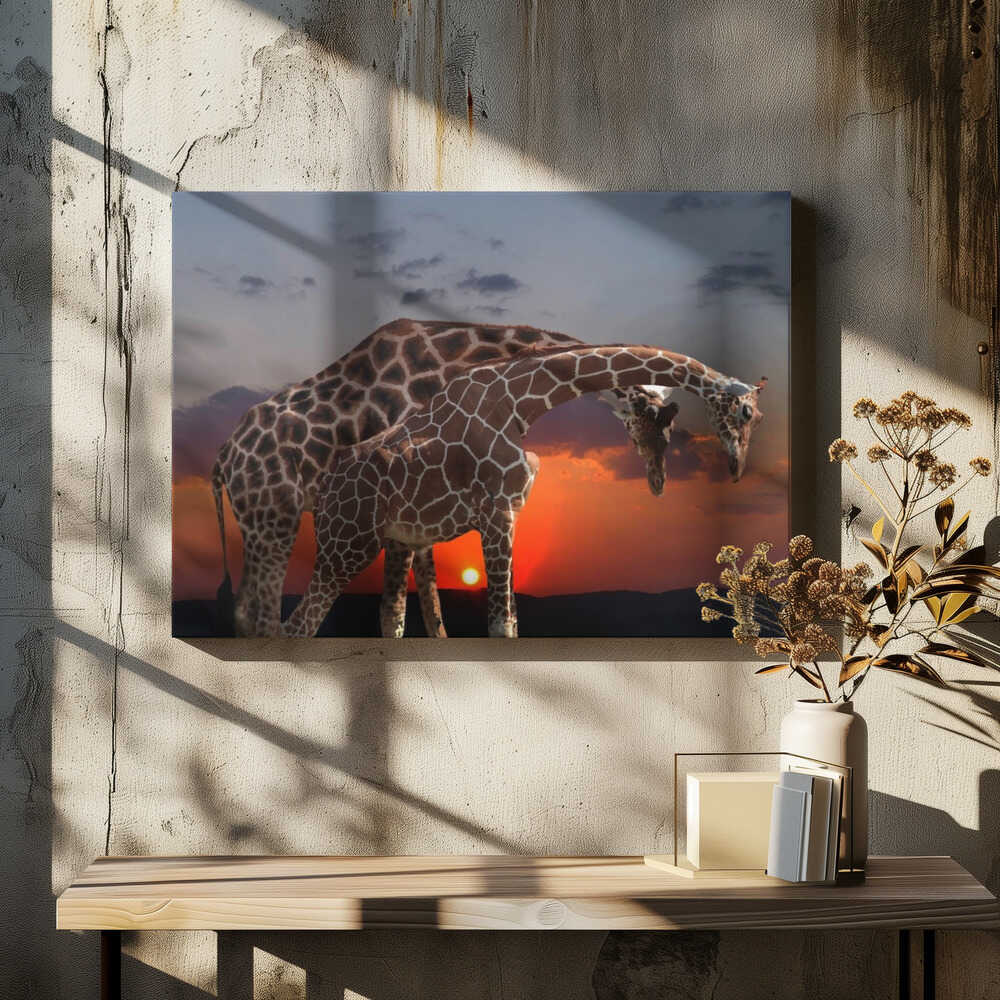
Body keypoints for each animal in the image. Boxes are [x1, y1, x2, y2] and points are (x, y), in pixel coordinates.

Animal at [210, 319, 679, 637]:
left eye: (669, 433)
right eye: (655, 426)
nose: (658, 483)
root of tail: (223, 458)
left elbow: (428, 610)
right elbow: (403, 609)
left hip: (260, 524)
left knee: (246, 609)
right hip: (276, 520)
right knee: (264, 614)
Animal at [282, 344, 766, 638]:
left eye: (757, 419)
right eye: (745, 413)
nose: (737, 469)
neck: (521, 402)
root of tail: (323, 489)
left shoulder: (511, 515)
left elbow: (512, 621)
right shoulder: (495, 513)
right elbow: (500, 624)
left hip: (395, 541)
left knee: (389, 617)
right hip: (347, 544)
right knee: (298, 625)